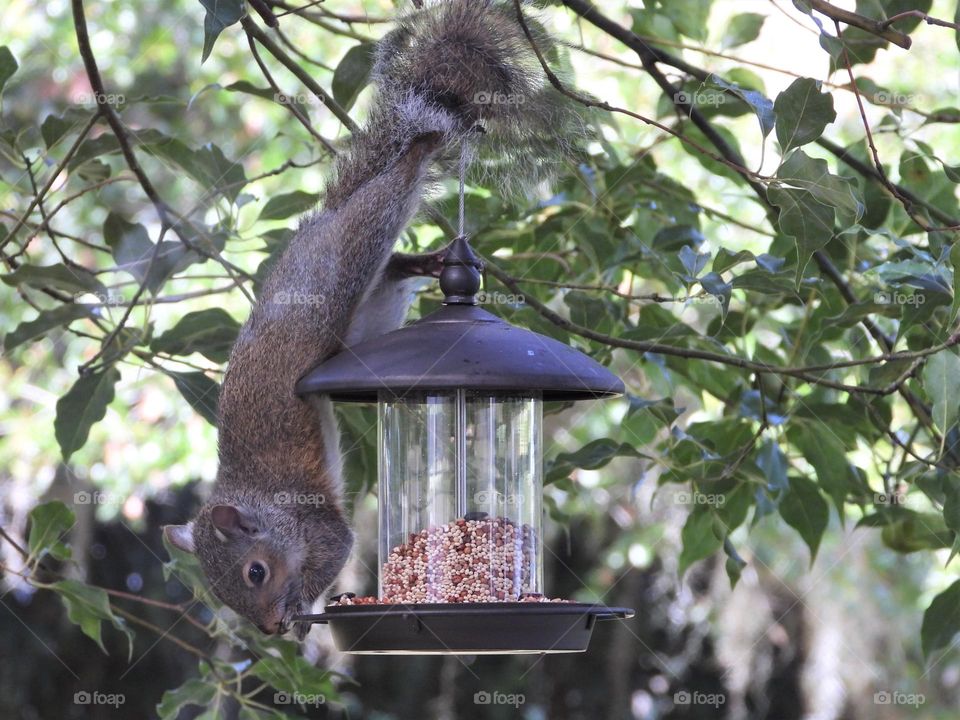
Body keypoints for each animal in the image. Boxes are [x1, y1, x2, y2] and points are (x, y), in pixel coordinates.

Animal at [162, 1, 580, 640]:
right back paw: (425, 260)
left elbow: (335, 548)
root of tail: (327, 220)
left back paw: (423, 145)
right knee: (392, 264)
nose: (266, 630)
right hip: (369, 300)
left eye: (256, 572)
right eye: (219, 592)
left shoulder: (316, 522)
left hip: (357, 245)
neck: (264, 503)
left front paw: (299, 610)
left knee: (395, 186)